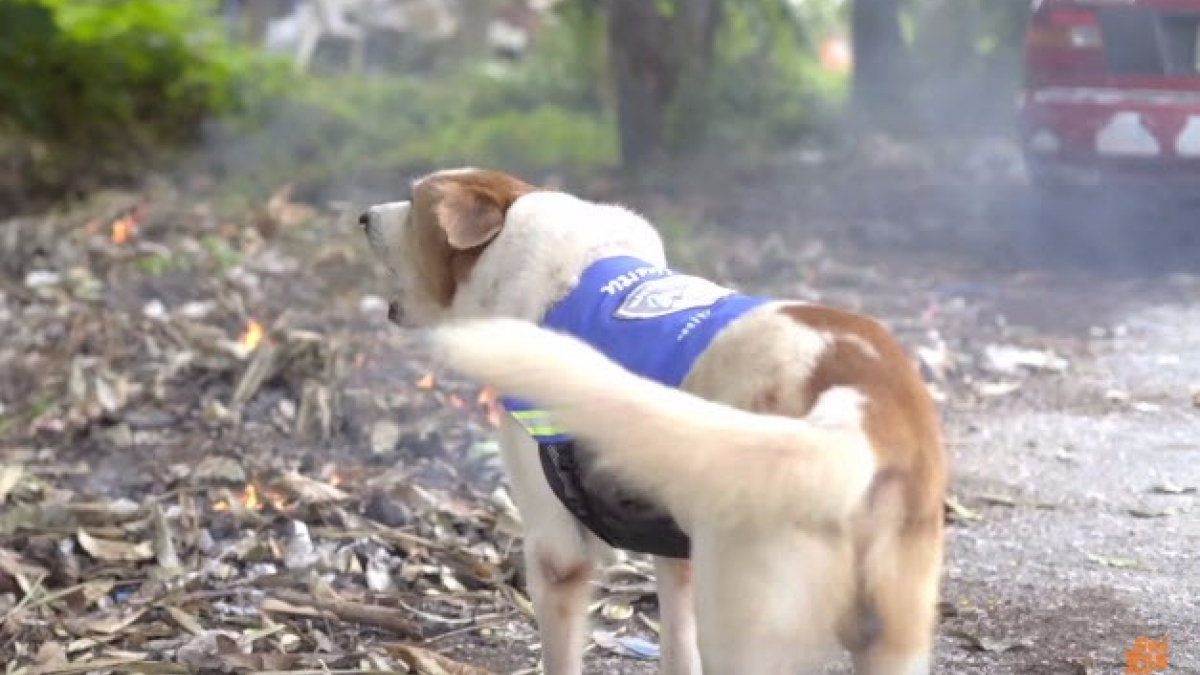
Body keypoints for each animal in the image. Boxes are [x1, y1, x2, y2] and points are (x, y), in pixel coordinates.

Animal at [357, 166, 945, 672]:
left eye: (413, 202)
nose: (362, 215)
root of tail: (861, 409)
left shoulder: (557, 552)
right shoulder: (676, 550)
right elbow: (677, 644)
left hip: (742, 619)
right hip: (892, 638)